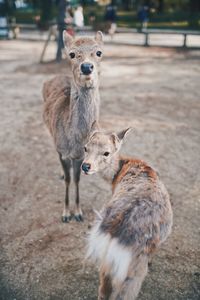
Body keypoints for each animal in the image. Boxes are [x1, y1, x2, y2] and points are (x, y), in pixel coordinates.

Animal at [43, 31, 104, 223]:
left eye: (99, 52)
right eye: (71, 54)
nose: (86, 67)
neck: (75, 140)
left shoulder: (79, 156)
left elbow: (77, 179)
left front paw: (78, 213)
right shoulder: (62, 151)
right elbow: (68, 180)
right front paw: (65, 214)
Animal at [82, 128, 173, 300]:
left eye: (106, 153)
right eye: (85, 148)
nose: (85, 166)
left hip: (108, 257)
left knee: (104, 286)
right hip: (134, 265)